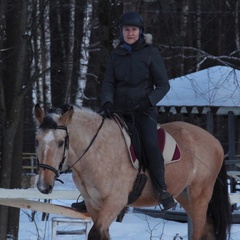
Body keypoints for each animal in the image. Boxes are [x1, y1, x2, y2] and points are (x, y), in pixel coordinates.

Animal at [33, 104, 231, 239]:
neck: (96, 151)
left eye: (61, 142)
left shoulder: (114, 202)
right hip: (184, 195)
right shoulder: (93, 203)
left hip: (200, 194)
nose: (43, 186)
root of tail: (215, 141)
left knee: (199, 231)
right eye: (37, 140)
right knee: (209, 228)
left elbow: (95, 234)